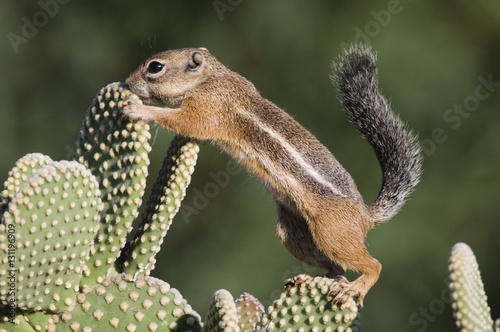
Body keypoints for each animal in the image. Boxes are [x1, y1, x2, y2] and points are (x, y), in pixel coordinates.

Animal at [122, 44, 422, 306]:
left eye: (156, 67)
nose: (126, 82)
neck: (211, 78)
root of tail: (365, 215)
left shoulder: (209, 108)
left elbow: (183, 121)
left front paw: (139, 109)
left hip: (331, 232)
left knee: (372, 265)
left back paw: (355, 288)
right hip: (294, 234)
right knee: (337, 268)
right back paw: (310, 279)